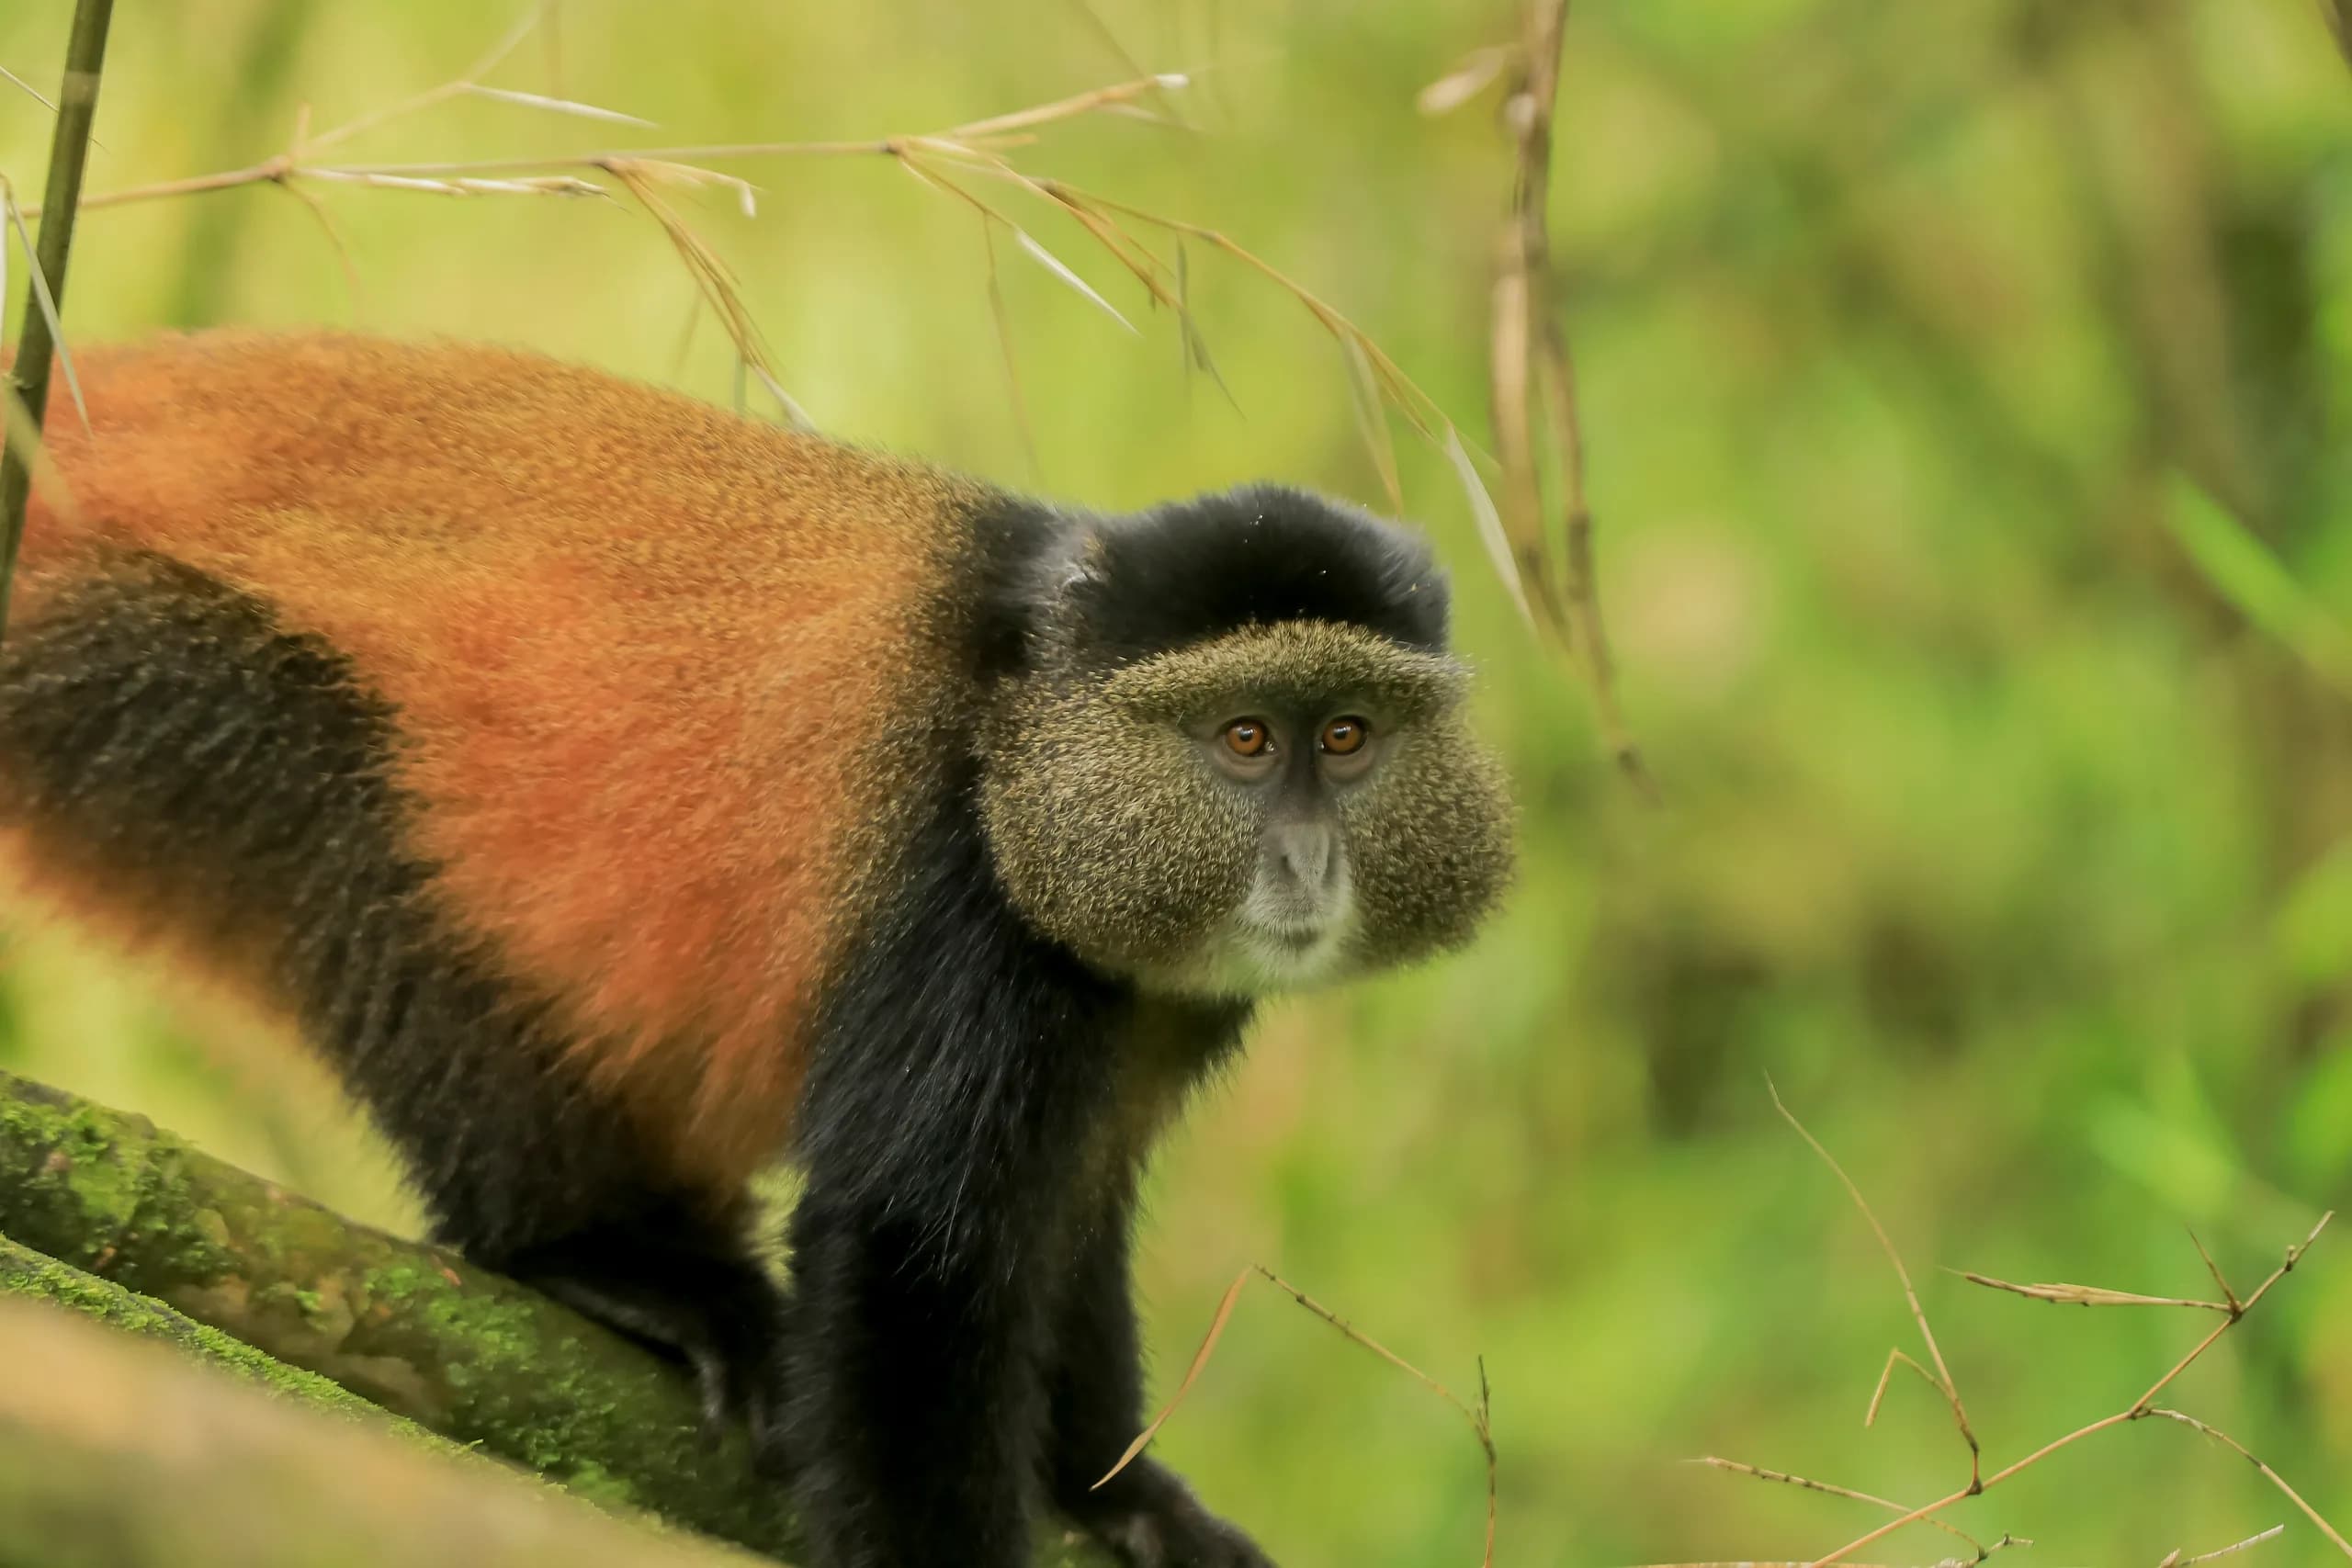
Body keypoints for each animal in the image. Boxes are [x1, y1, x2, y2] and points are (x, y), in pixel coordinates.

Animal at [0, 331, 1515, 1568]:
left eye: (1348, 735)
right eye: (1244, 738)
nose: (1305, 861)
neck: (1026, 728)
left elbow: (1069, 1212)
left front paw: (1122, 1493)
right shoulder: (962, 908)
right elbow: (917, 1258)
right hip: (165, 677)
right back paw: (609, 1256)